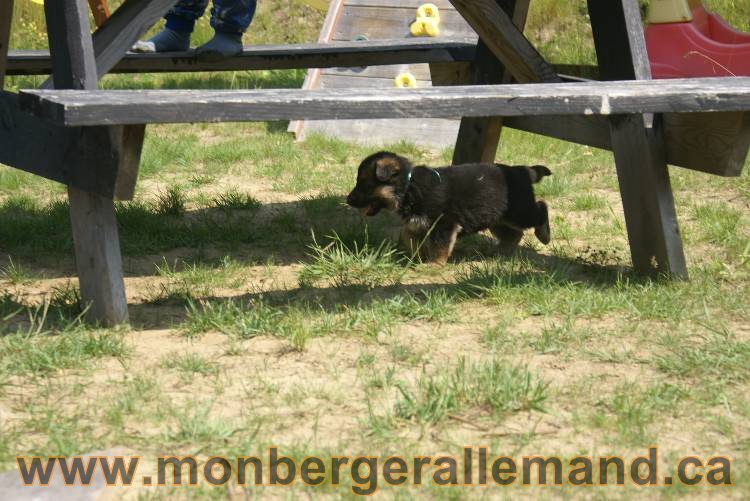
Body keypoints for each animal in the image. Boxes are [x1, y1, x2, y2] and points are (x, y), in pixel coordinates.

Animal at [346, 150, 552, 264]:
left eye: (364, 184)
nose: (348, 200)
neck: (408, 187)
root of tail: (523, 170)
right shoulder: (417, 223)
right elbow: (408, 236)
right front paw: (418, 256)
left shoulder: (444, 223)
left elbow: (440, 245)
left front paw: (434, 264)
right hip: (496, 217)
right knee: (514, 234)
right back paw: (500, 252)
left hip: (519, 211)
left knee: (541, 208)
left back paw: (544, 234)